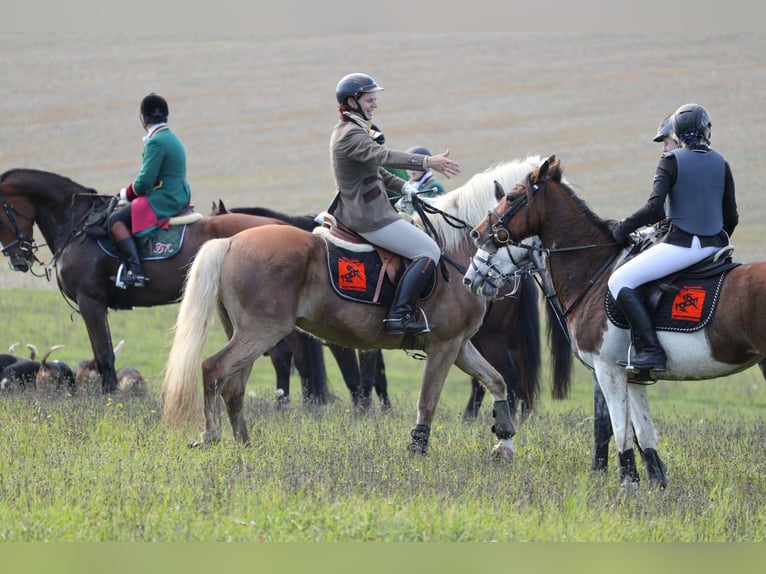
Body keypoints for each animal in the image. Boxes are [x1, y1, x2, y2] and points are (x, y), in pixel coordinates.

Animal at [0, 169, 328, 398]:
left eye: (2, 215)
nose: (18, 259)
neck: (79, 225)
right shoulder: (95, 306)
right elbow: (103, 354)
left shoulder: (90, 301)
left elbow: (104, 356)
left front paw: (108, 401)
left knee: (281, 355)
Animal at [165, 155, 560, 456]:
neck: (456, 249)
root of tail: (231, 241)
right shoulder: (445, 345)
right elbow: (428, 400)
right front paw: (418, 448)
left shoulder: (459, 344)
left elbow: (495, 381)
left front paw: (505, 440)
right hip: (261, 332)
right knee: (214, 371)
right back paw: (211, 436)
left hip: (249, 333)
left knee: (232, 386)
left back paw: (245, 445)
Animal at [468, 155, 766, 488]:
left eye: (511, 198)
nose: (476, 237)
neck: (594, 270)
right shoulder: (631, 375)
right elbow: (643, 432)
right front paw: (656, 484)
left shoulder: (606, 369)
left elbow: (615, 427)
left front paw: (626, 482)